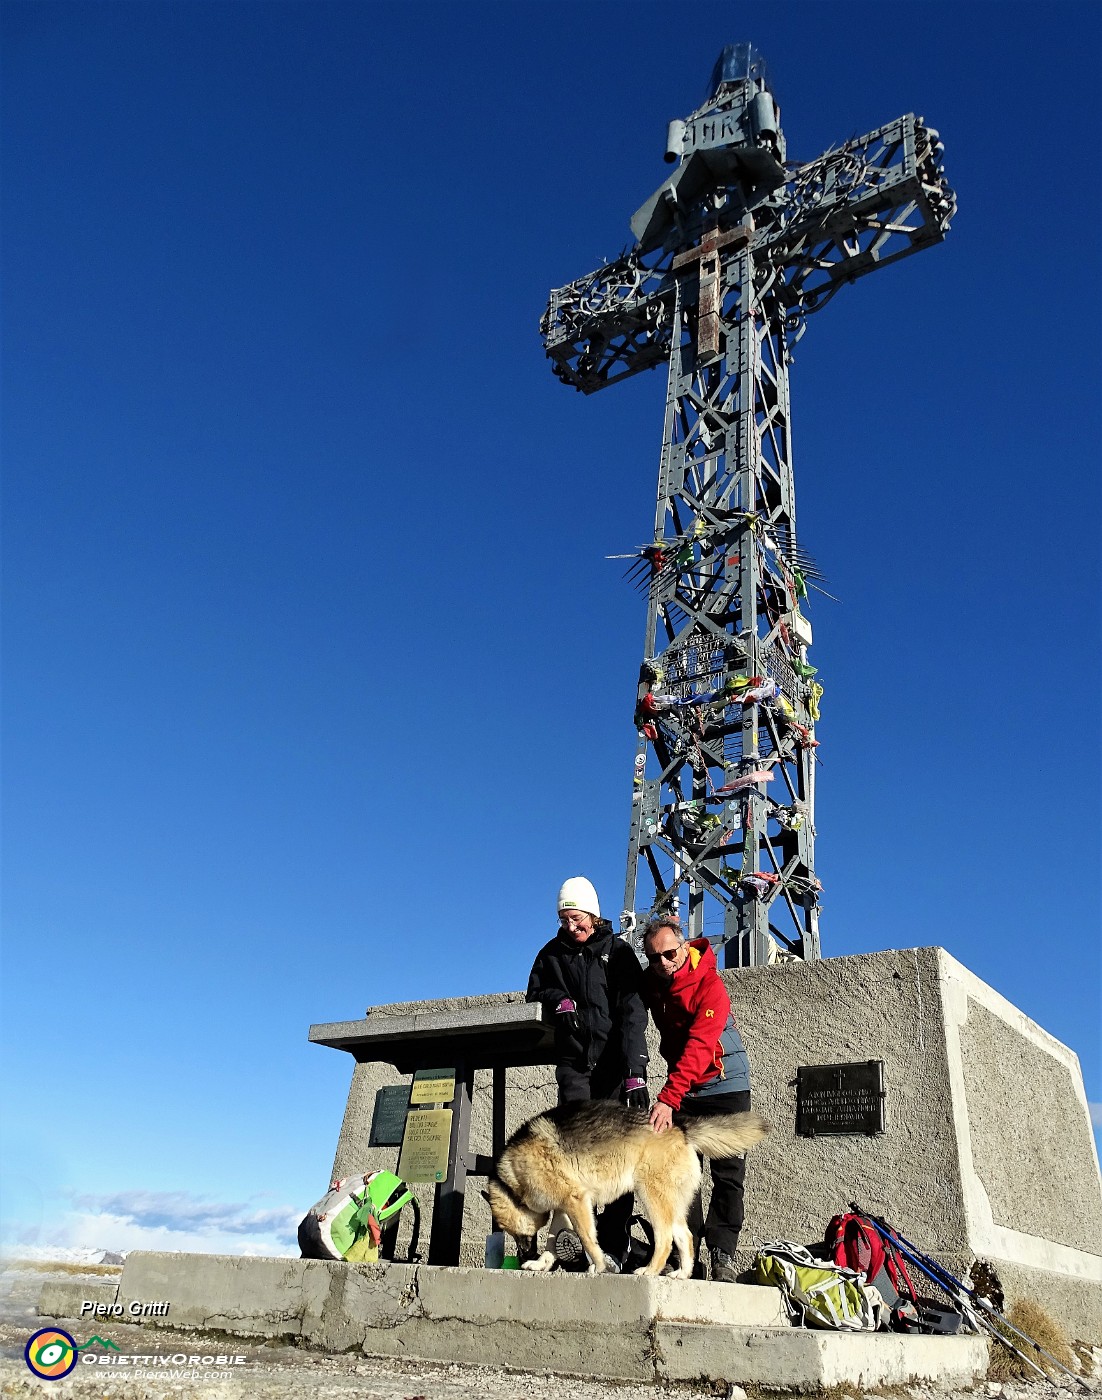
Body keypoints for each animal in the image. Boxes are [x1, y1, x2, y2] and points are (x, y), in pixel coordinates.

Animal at [487, 1097, 772, 1276]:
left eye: (516, 1235)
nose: (521, 1258)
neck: (513, 1179)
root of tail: (680, 1128)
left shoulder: (576, 1202)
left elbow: (588, 1239)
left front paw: (600, 1266)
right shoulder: (565, 1208)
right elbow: (551, 1243)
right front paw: (541, 1265)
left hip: (651, 1198)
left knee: (665, 1240)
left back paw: (651, 1271)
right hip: (671, 1204)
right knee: (686, 1236)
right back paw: (682, 1274)